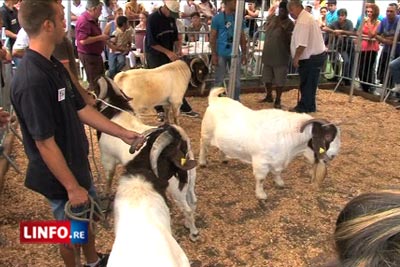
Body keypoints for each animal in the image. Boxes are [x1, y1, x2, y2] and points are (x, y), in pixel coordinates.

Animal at [198, 88, 340, 201]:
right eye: (328, 136)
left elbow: (277, 172)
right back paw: (202, 162)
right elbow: (261, 179)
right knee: (203, 147)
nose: (334, 155)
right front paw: (261, 195)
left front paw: (279, 182)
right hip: (206, 133)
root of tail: (214, 100)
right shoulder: (261, 161)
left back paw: (224, 158)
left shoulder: (278, 160)